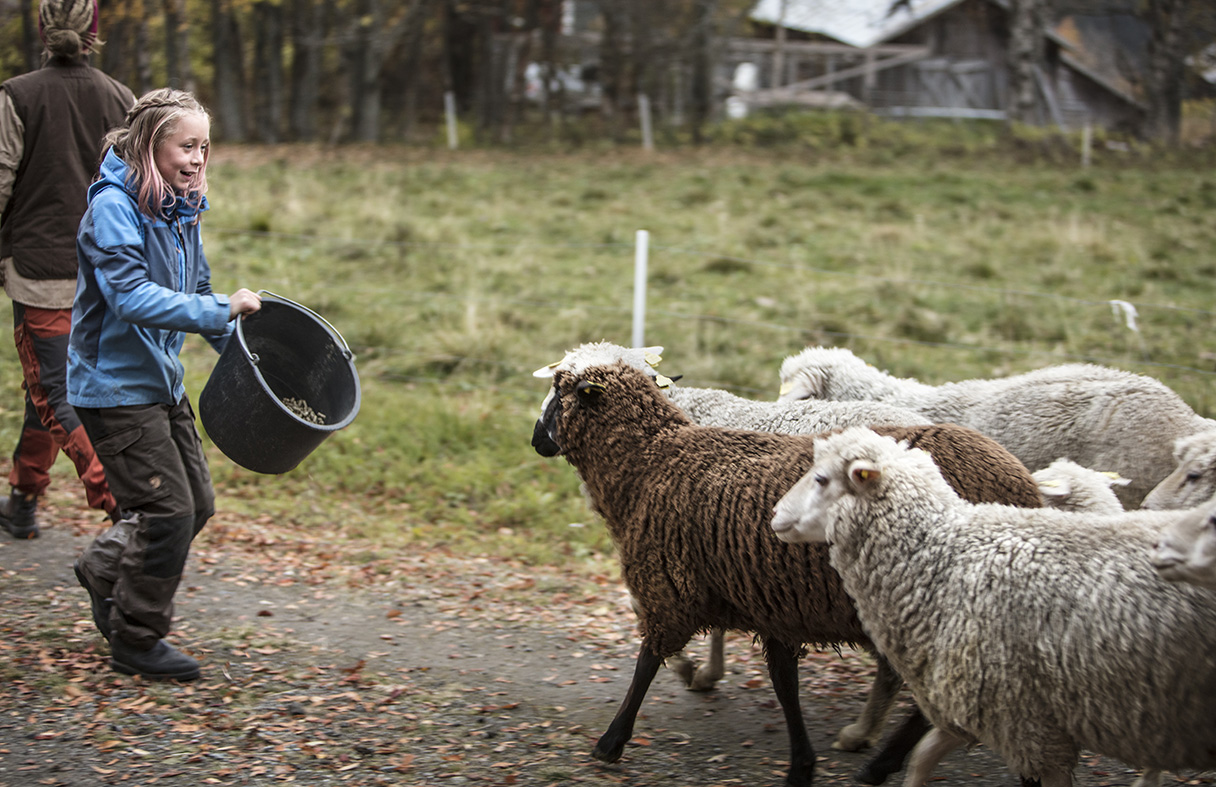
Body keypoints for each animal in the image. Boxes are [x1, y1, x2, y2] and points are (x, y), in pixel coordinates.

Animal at [768, 428, 1216, 787]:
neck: (942, 556)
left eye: (821, 479)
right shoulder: (973, 701)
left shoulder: (1026, 722)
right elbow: (923, 756)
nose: (774, 515)